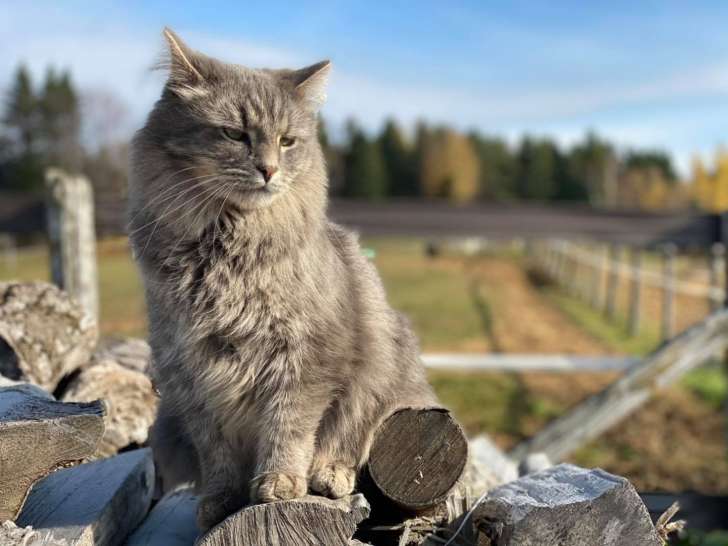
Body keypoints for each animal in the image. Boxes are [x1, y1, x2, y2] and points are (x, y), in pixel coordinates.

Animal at [129, 28, 438, 528]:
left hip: (385, 375)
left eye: (288, 141)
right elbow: (216, 454)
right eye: (234, 134)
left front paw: (279, 484)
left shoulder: (303, 359)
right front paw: (222, 500)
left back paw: (329, 475)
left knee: (352, 441)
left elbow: (287, 427)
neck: (227, 248)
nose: (269, 169)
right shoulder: (191, 376)